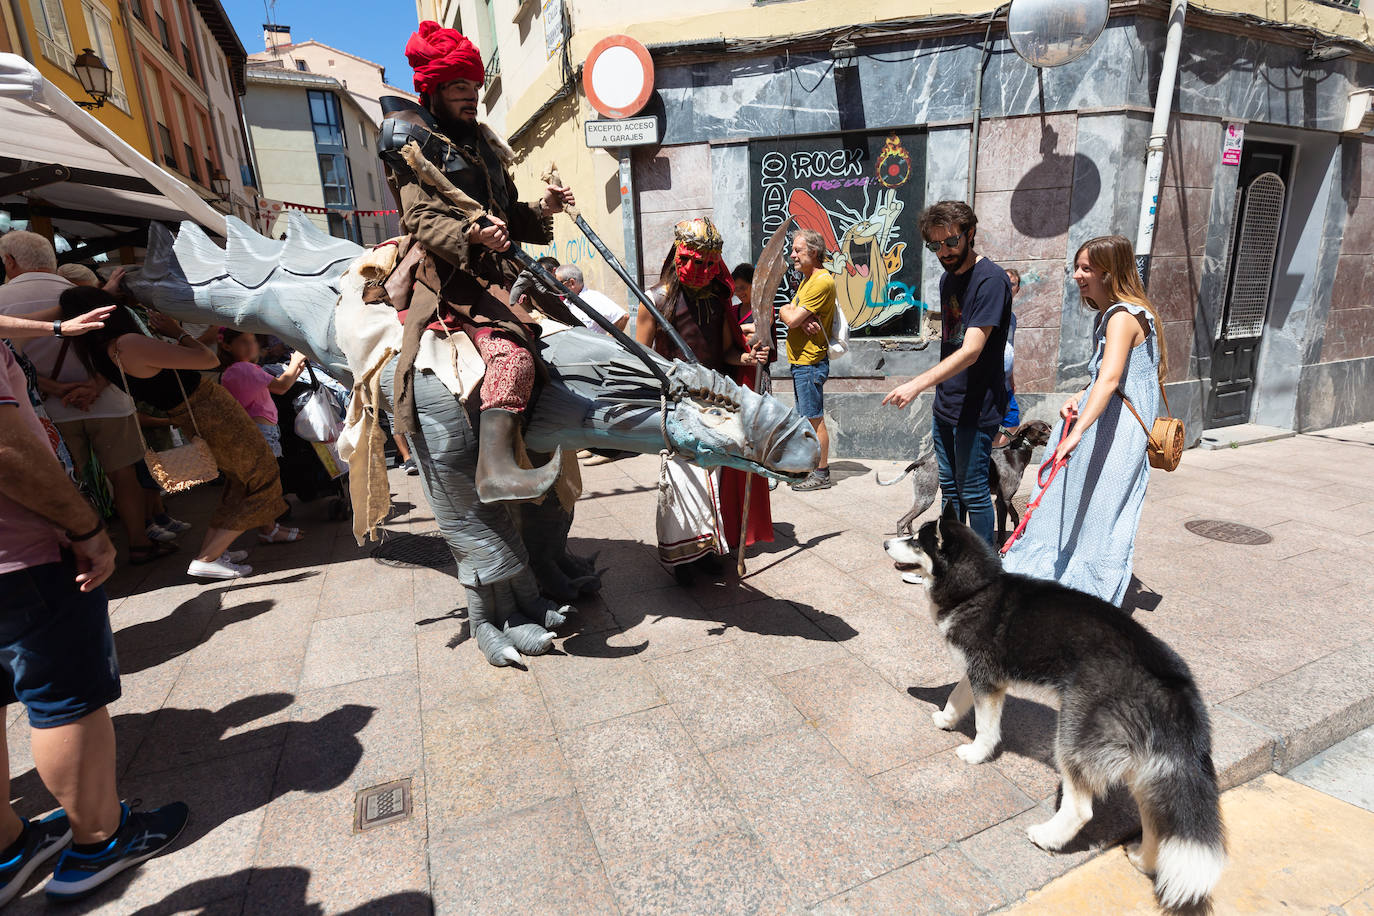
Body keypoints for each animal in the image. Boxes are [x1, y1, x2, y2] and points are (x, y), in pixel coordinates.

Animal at [884, 519, 1231, 911]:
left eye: (916, 540)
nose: (885, 544)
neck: (977, 588)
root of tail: (1173, 681)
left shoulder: (987, 678)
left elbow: (986, 726)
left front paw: (976, 753)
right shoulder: (980, 673)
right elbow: (958, 696)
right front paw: (945, 719)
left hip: (1073, 735)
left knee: (1081, 809)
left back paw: (1047, 836)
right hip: (1144, 769)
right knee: (1157, 819)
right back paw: (1144, 859)